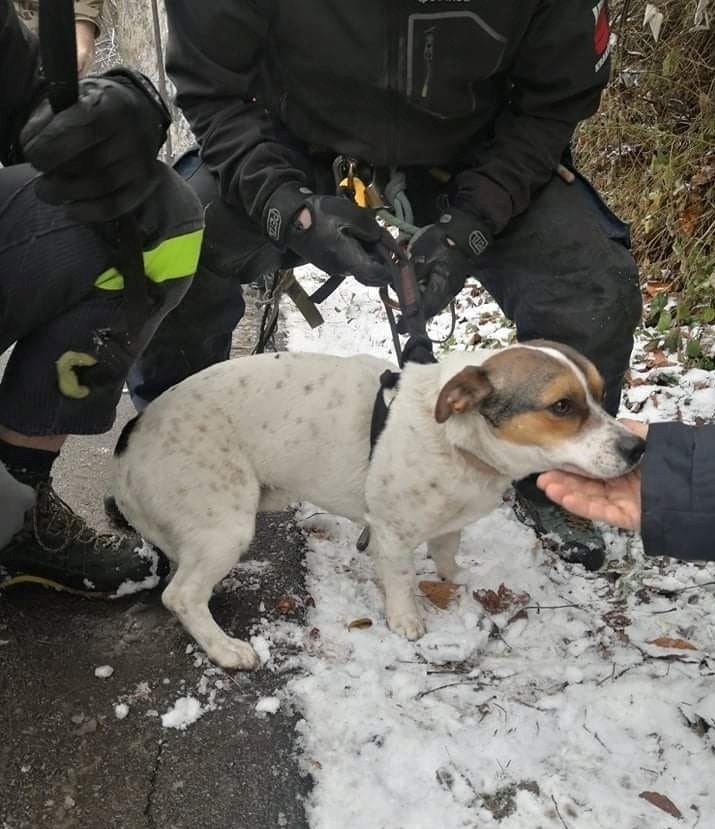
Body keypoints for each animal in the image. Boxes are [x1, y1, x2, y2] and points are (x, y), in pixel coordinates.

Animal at [114, 340, 648, 668]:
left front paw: (456, 578)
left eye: (601, 394)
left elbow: (447, 556)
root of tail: (132, 434)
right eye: (561, 406)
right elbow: (402, 580)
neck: (453, 439)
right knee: (180, 596)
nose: (638, 448)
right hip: (226, 528)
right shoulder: (391, 534)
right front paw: (406, 620)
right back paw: (225, 649)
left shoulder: (448, 524)